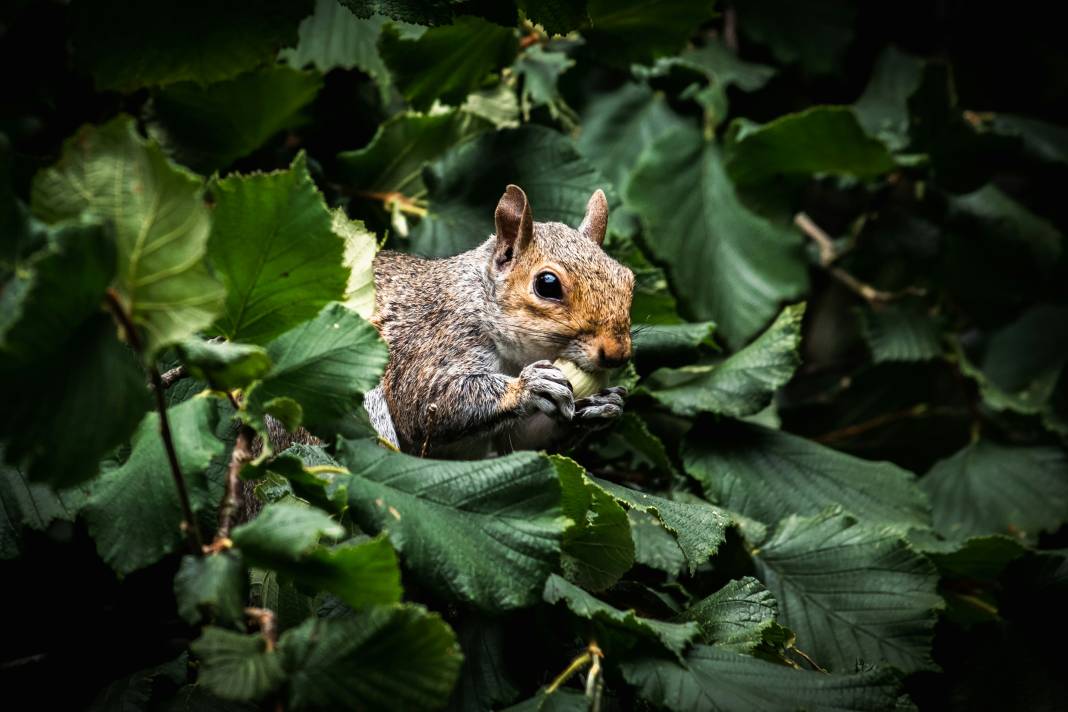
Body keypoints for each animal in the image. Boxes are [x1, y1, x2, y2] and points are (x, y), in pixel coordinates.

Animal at [367, 183, 632, 459]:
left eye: (628, 278)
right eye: (547, 284)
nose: (617, 354)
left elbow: (520, 443)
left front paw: (602, 405)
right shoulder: (434, 339)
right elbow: (423, 402)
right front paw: (527, 388)